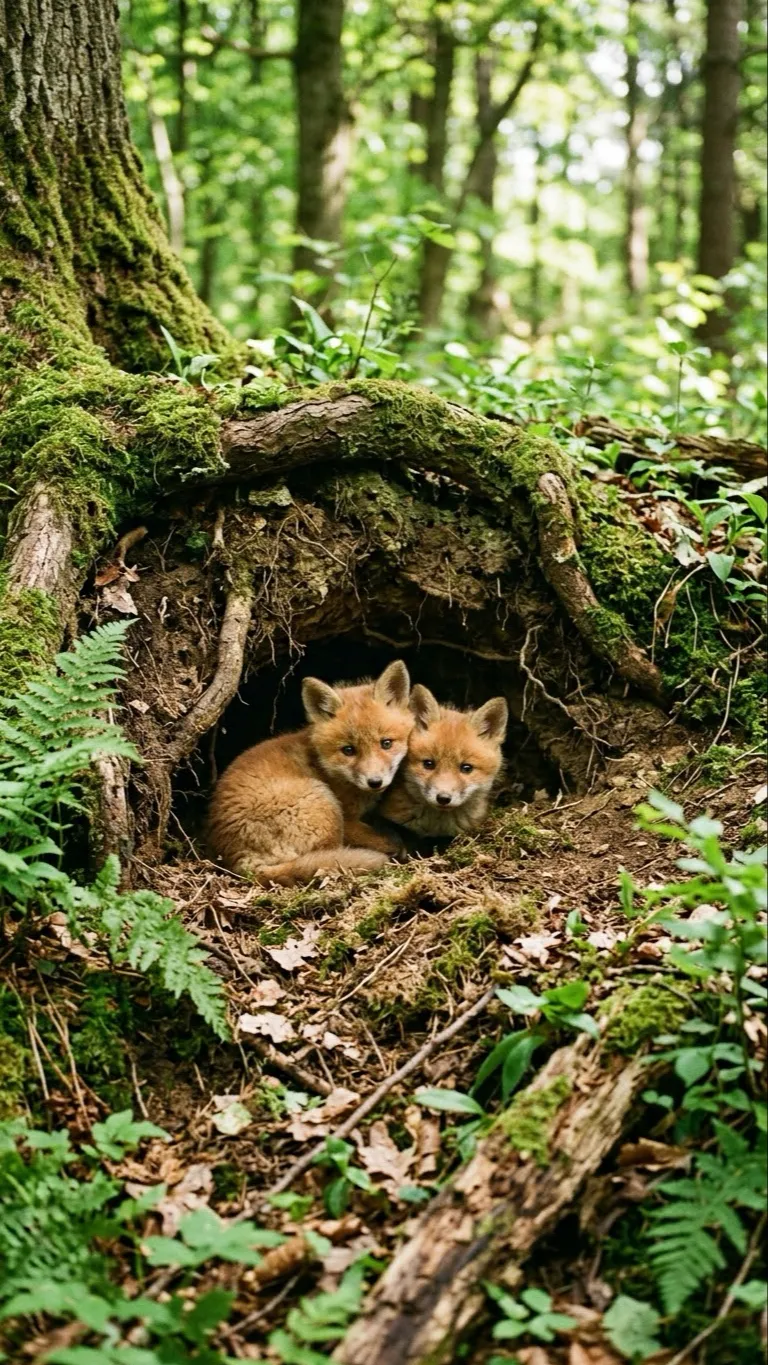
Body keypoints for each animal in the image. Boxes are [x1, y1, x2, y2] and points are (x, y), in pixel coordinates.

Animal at [206, 660, 412, 886]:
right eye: (348, 750)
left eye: (386, 743)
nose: (375, 781)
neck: (326, 767)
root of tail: (239, 859)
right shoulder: (348, 820)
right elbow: (376, 838)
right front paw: (395, 846)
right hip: (322, 801)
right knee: (329, 854)